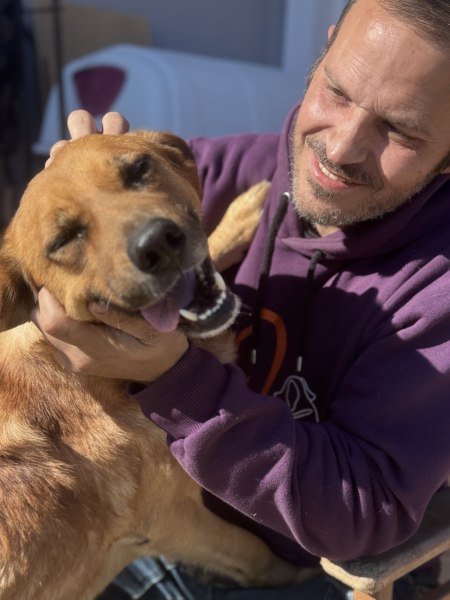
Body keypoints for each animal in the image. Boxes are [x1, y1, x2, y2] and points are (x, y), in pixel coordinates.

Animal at [0, 131, 298, 599]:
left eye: (138, 169)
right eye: (63, 240)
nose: (157, 243)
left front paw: (240, 216)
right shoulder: (169, 520)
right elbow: (254, 552)